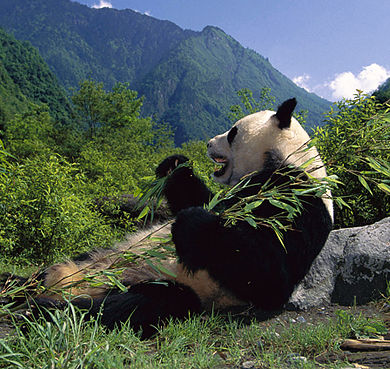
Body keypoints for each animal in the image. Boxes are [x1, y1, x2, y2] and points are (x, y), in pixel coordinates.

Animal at [16, 97, 332, 336]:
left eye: (232, 132)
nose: (208, 143)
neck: (284, 158)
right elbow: (198, 197)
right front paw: (175, 165)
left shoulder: (298, 200)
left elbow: (271, 273)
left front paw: (192, 224)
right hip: (100, 254)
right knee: (47, 272)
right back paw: (20, 286)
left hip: (174, 284)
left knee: (135, 305)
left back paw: (46, 309)